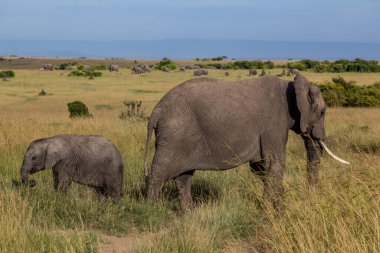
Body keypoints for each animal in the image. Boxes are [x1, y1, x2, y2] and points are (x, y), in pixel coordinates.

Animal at [144, 74, 348, 211]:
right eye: (322, 112)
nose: (312, 196)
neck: (291, 84)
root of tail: (156, 111)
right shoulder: (274, 123)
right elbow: (275, 163)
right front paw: (276, 209)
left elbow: (261, 166)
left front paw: (270, 205)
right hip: (174, 134)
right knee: (160, 173)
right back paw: (152, 210)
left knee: (184, 176)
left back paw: (189, 214)